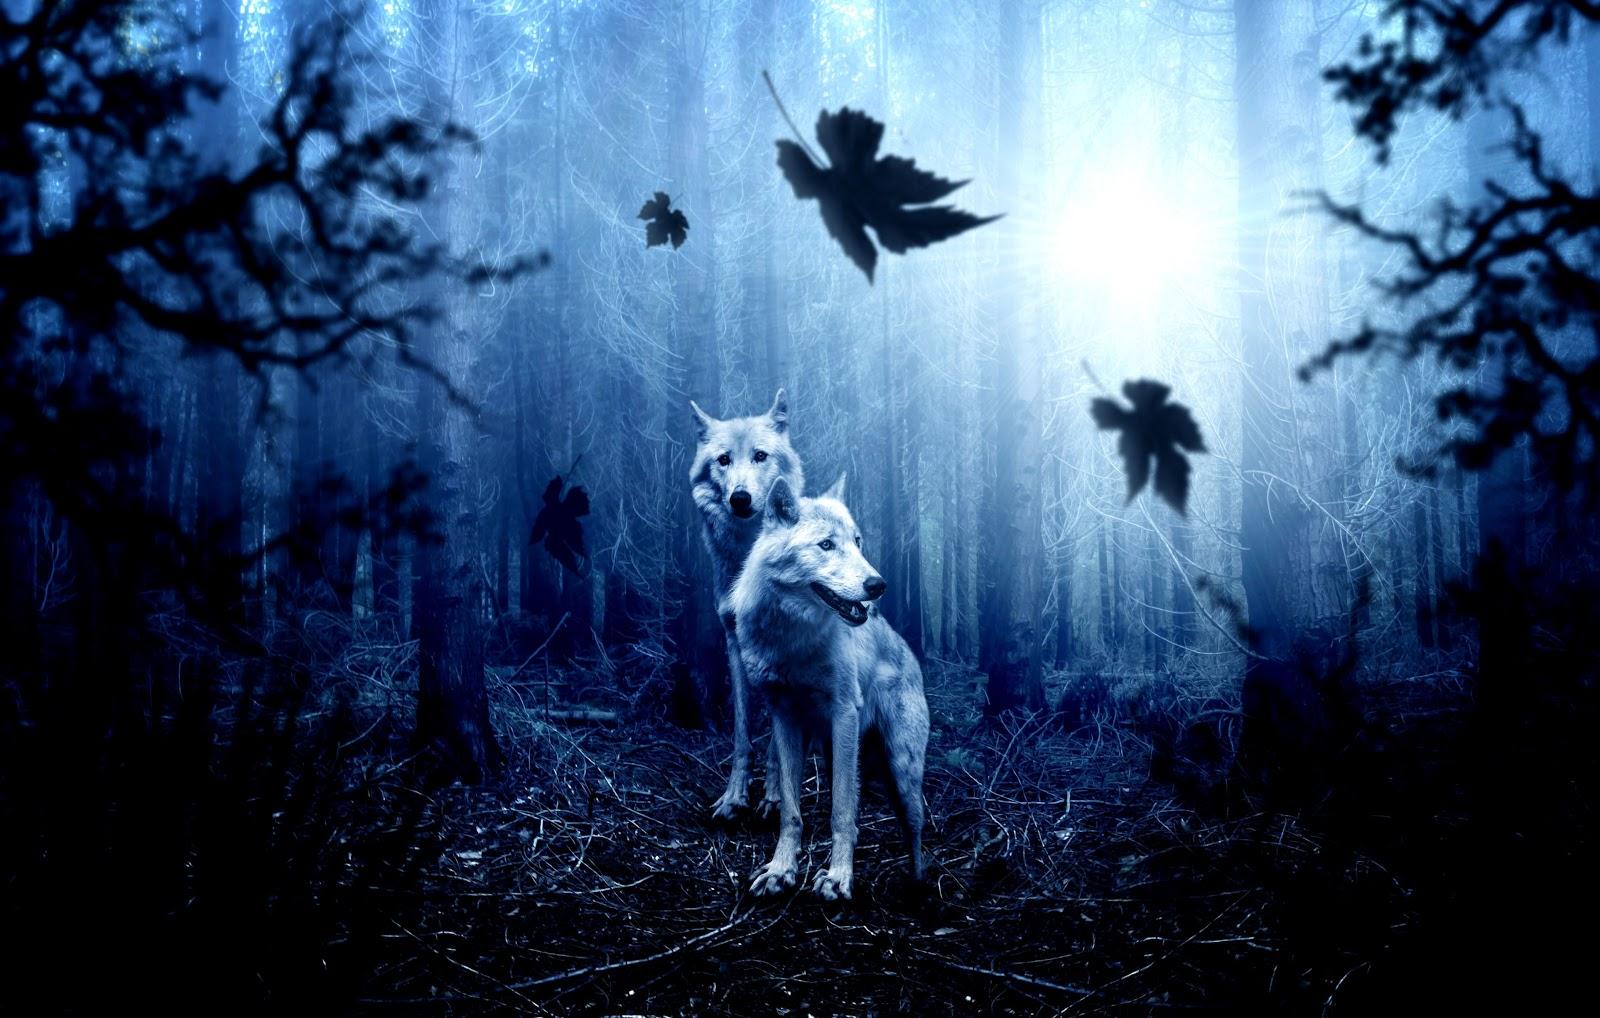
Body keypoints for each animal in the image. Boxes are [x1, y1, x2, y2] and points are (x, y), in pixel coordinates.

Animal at [690, 389, 806, 819]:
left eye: (760, 455)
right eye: (724, 459)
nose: (740, 498)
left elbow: (778, 741)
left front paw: (774, 796)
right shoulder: (733, 641)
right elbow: (742, 731)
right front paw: (734, 796)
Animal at [730, 476, 929, 899]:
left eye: (858, 542)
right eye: (826, 545)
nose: (878, 585)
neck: (792, 640)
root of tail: (909, 653)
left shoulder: (844, 713)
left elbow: (841, 811)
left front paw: (838, 878)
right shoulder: (783, 717)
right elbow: (791, 810)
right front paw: (781, 871)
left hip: (901, 769)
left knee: (915, 827)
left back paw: (917, 886)